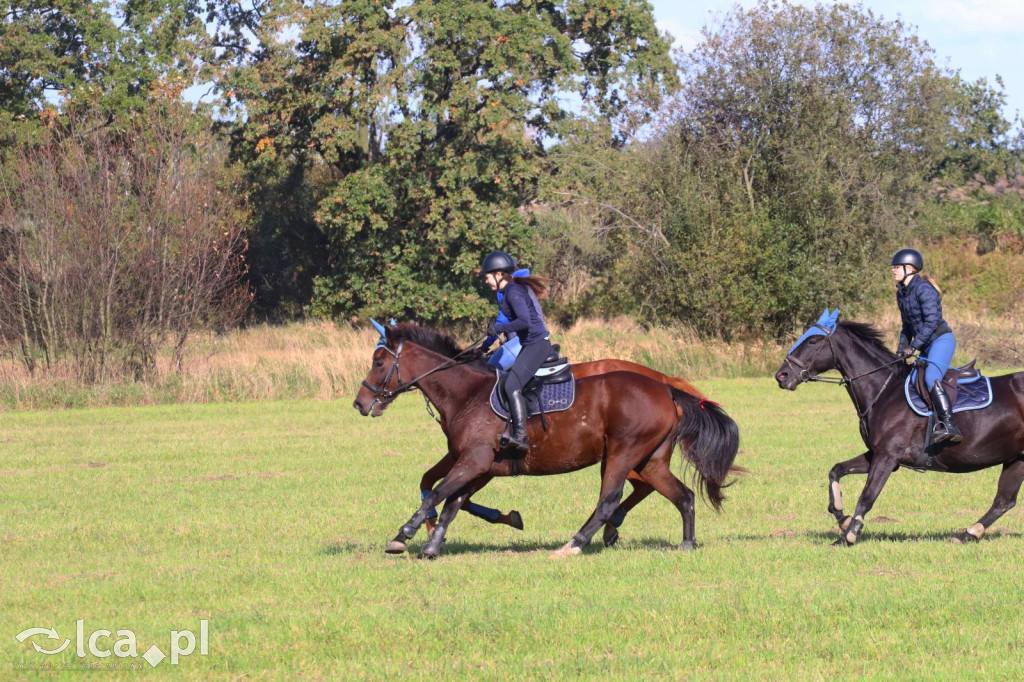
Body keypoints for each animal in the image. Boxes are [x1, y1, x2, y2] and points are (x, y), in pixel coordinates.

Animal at [352, 321, 737, 557]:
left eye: (378, 361)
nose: (360, 403)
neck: (466, 393)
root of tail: (666, 387)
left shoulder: (474, 460)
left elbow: (438, 492)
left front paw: (404, 534)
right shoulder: (481, 466)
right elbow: (451, 500)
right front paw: (433, 542)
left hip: (623, 454)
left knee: (610, 499)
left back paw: (576, 543)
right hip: (650, 459)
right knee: (682, 495)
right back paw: (685, 542)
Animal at [774, 311, 1024, 544]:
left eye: (813, 341)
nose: (781, 376)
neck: (884, 391)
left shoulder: (887, 457)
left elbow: (867, 496)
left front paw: (849, 536)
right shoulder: (877, 454)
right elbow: (836, 470)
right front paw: (843, 519)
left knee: (1004, 501)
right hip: (1016, 458)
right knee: (1004, 501)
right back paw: (968, 534)